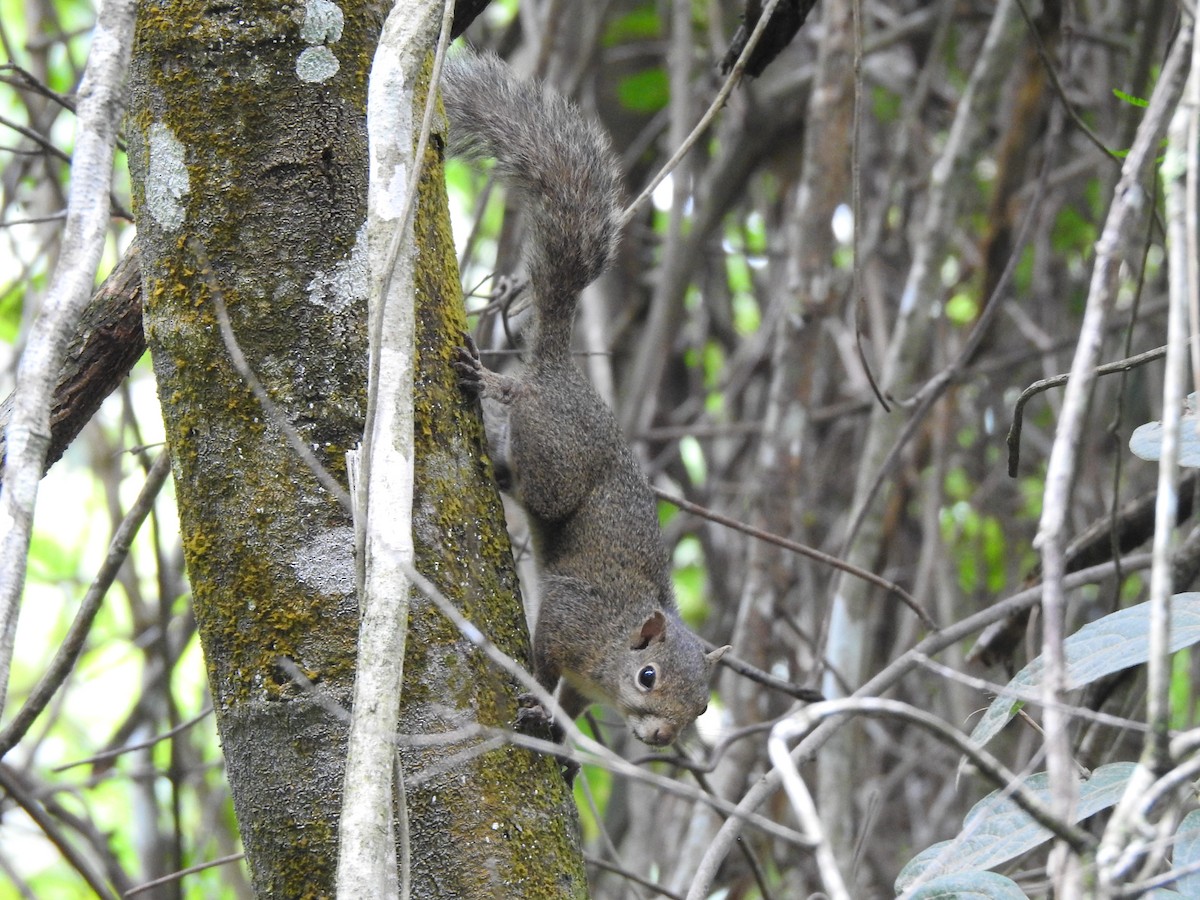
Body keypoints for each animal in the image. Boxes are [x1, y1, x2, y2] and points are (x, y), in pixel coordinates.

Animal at [443, 52, 729, 747]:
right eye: (648, 677)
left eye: (704, 707)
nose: (662, 739)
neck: (616, 641)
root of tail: (560, 371)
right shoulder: (573, 617)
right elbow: (546, 660)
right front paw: (537, 706)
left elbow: (571, 700)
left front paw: (564, 740)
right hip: (557, 454)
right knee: (532, 444)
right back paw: (499, 385)